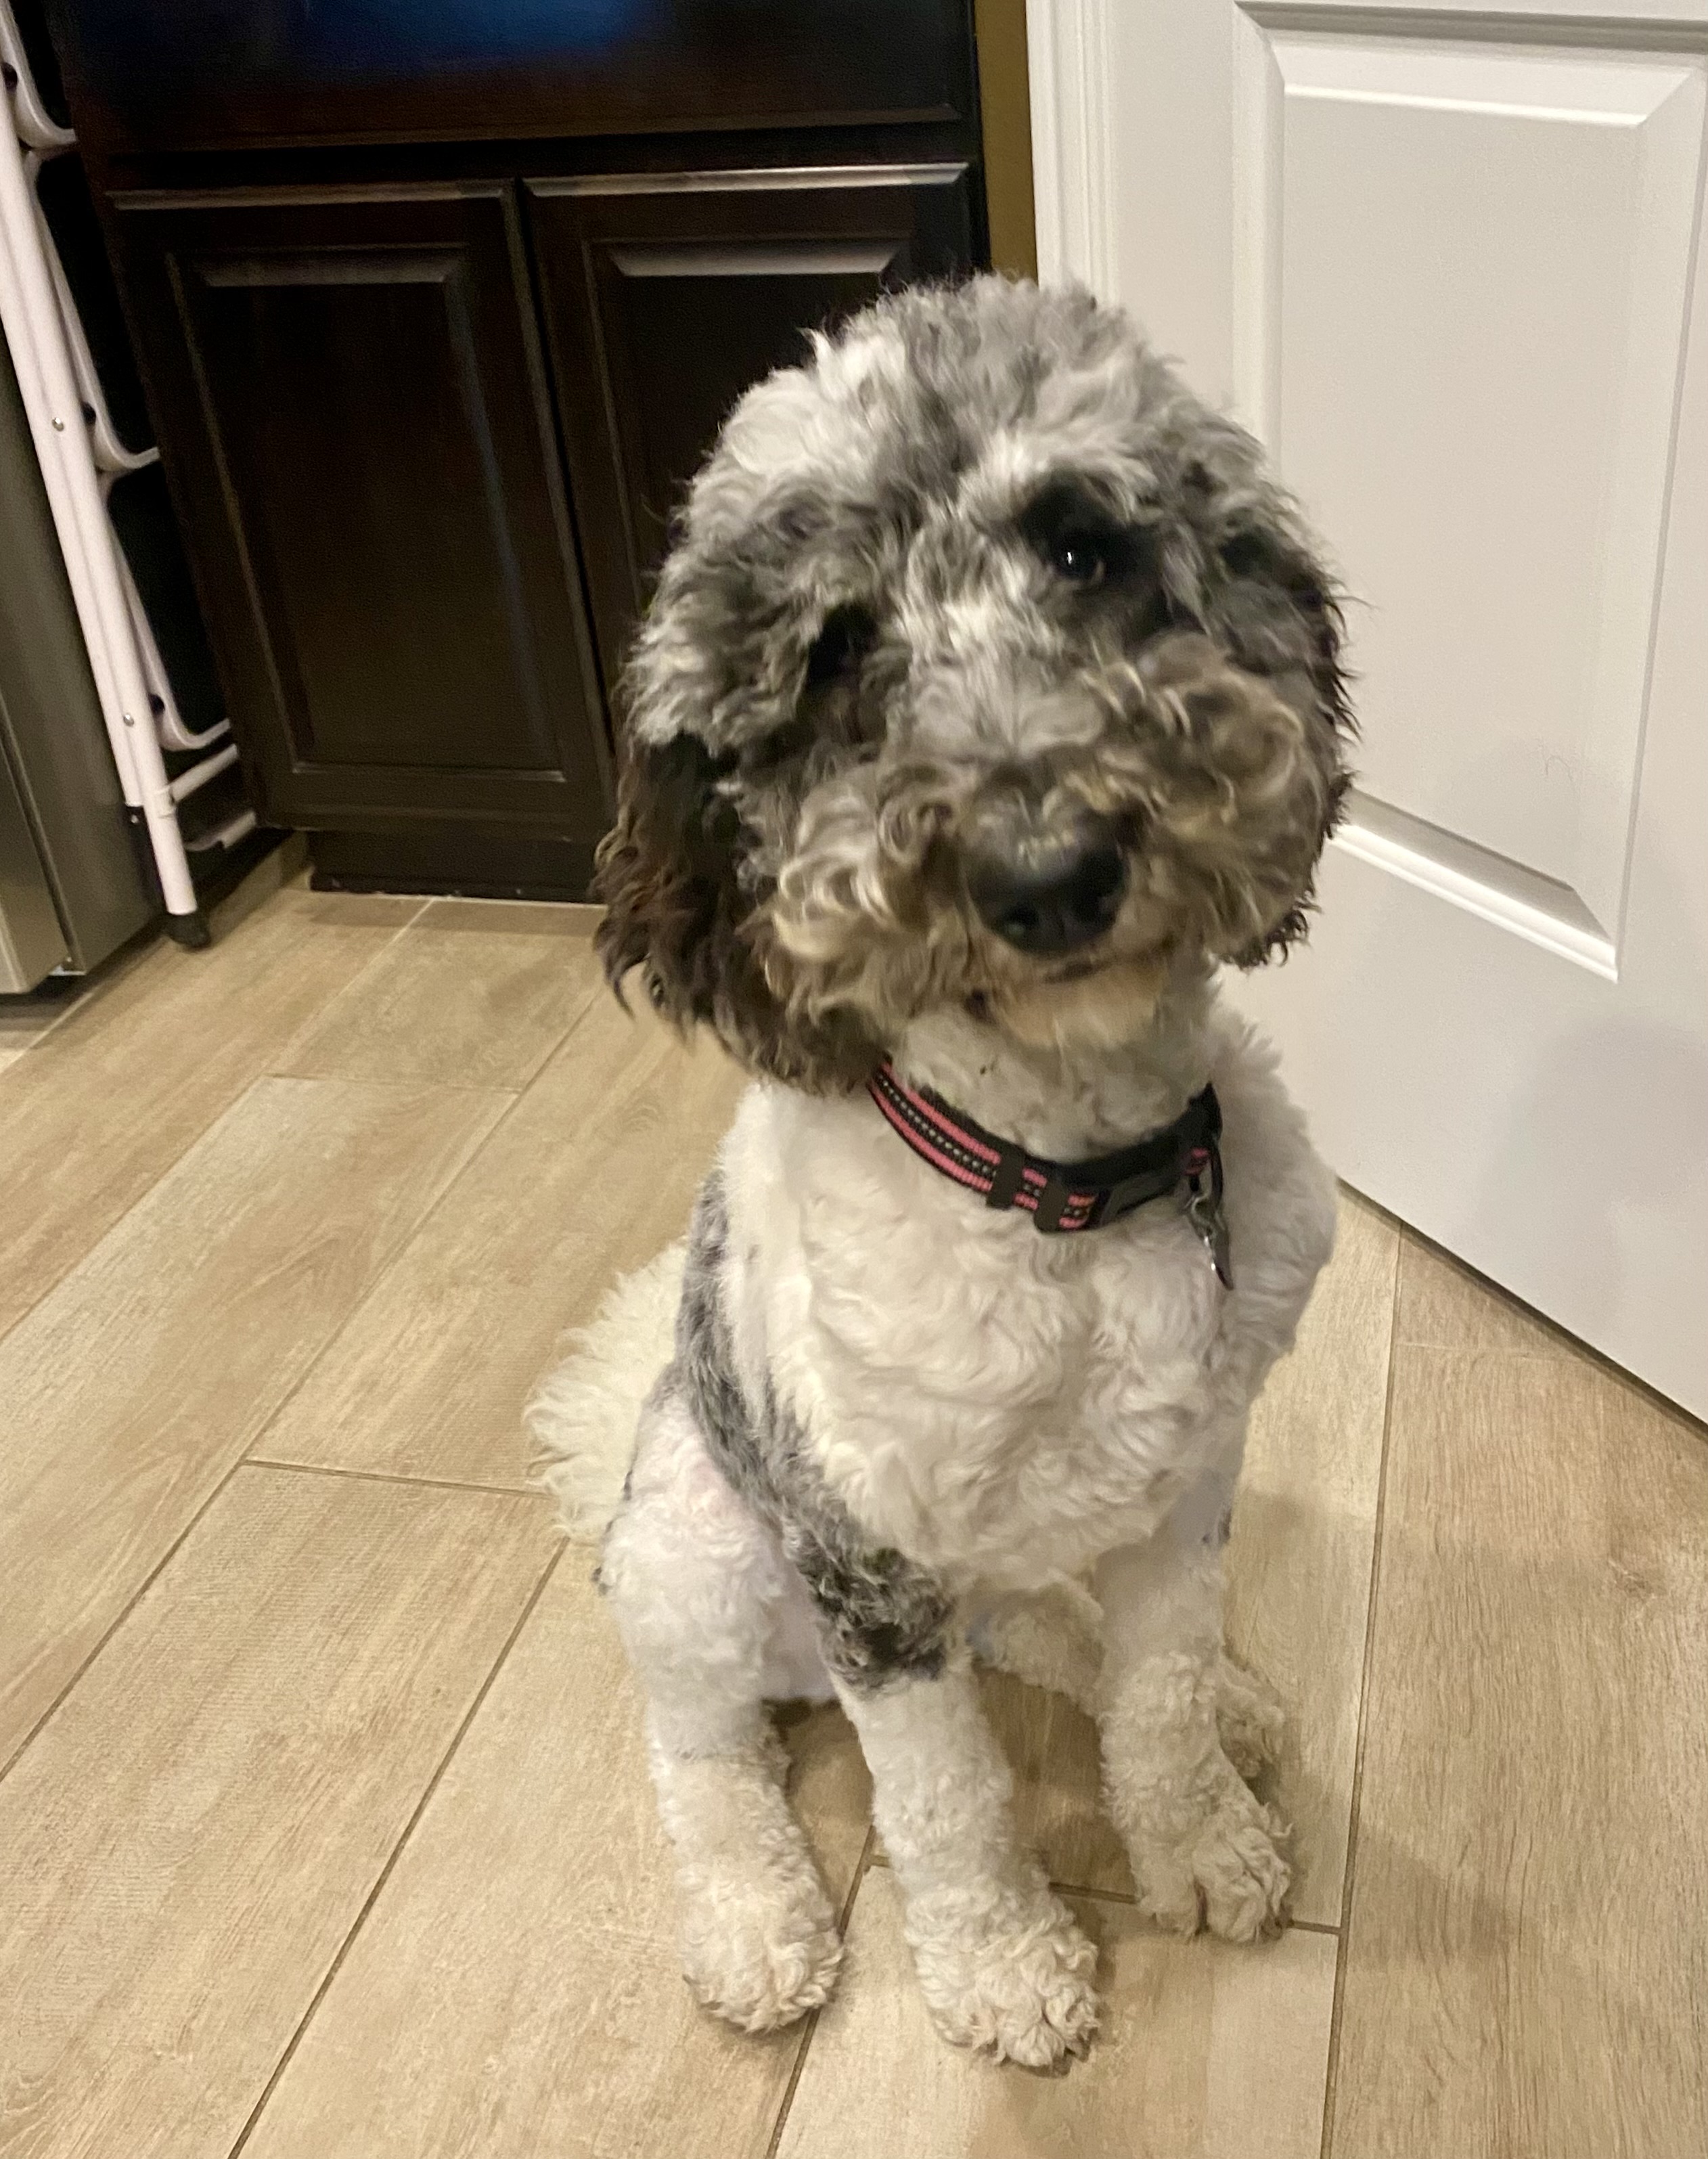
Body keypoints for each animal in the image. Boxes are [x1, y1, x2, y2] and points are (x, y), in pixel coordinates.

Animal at [529, 275, 1351, 2068]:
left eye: (1079, 547)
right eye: (833, 650)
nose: (1047, 871)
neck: (1067, 1182)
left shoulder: (1193, 1474)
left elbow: (1159, 1695)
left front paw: (1201, 1836)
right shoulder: (867, 1569)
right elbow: (949, 1799)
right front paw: (1005, 1965)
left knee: (1042, 1621)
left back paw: (1222, 1698)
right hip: (699, 1564)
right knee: (699, 1749)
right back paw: (753, 1919)